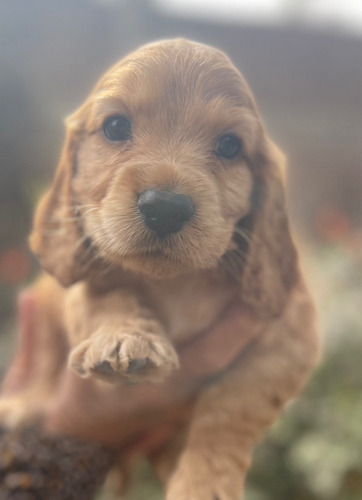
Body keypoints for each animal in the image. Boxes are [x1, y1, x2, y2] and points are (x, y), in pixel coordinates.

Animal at [4, 40, 320, 500]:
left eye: (230, 145)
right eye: (116, 126)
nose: (165, 208)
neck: (175, 283)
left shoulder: (289, 339)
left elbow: (230, 413)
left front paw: (203, 485)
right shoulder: (78, 288)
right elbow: (106, 299)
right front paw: (124, 338)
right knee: (45, 359)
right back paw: (24, 405)